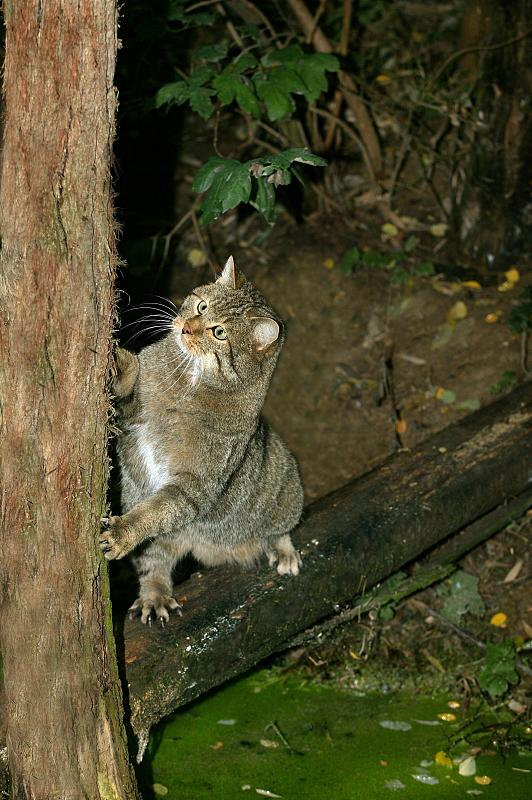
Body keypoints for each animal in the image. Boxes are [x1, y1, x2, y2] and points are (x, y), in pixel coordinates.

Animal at [97, 256, 302, 624]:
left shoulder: (193, 485)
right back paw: (155, 596)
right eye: (202, 306)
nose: (184, 328)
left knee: (279, 530)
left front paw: (122, 532)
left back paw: (283, 550)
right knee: (154, 562)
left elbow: (151, 513)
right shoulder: (130, 422)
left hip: (287, 489)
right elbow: (127, 387)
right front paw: (119, 359)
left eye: (218, 332)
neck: (190, 379)